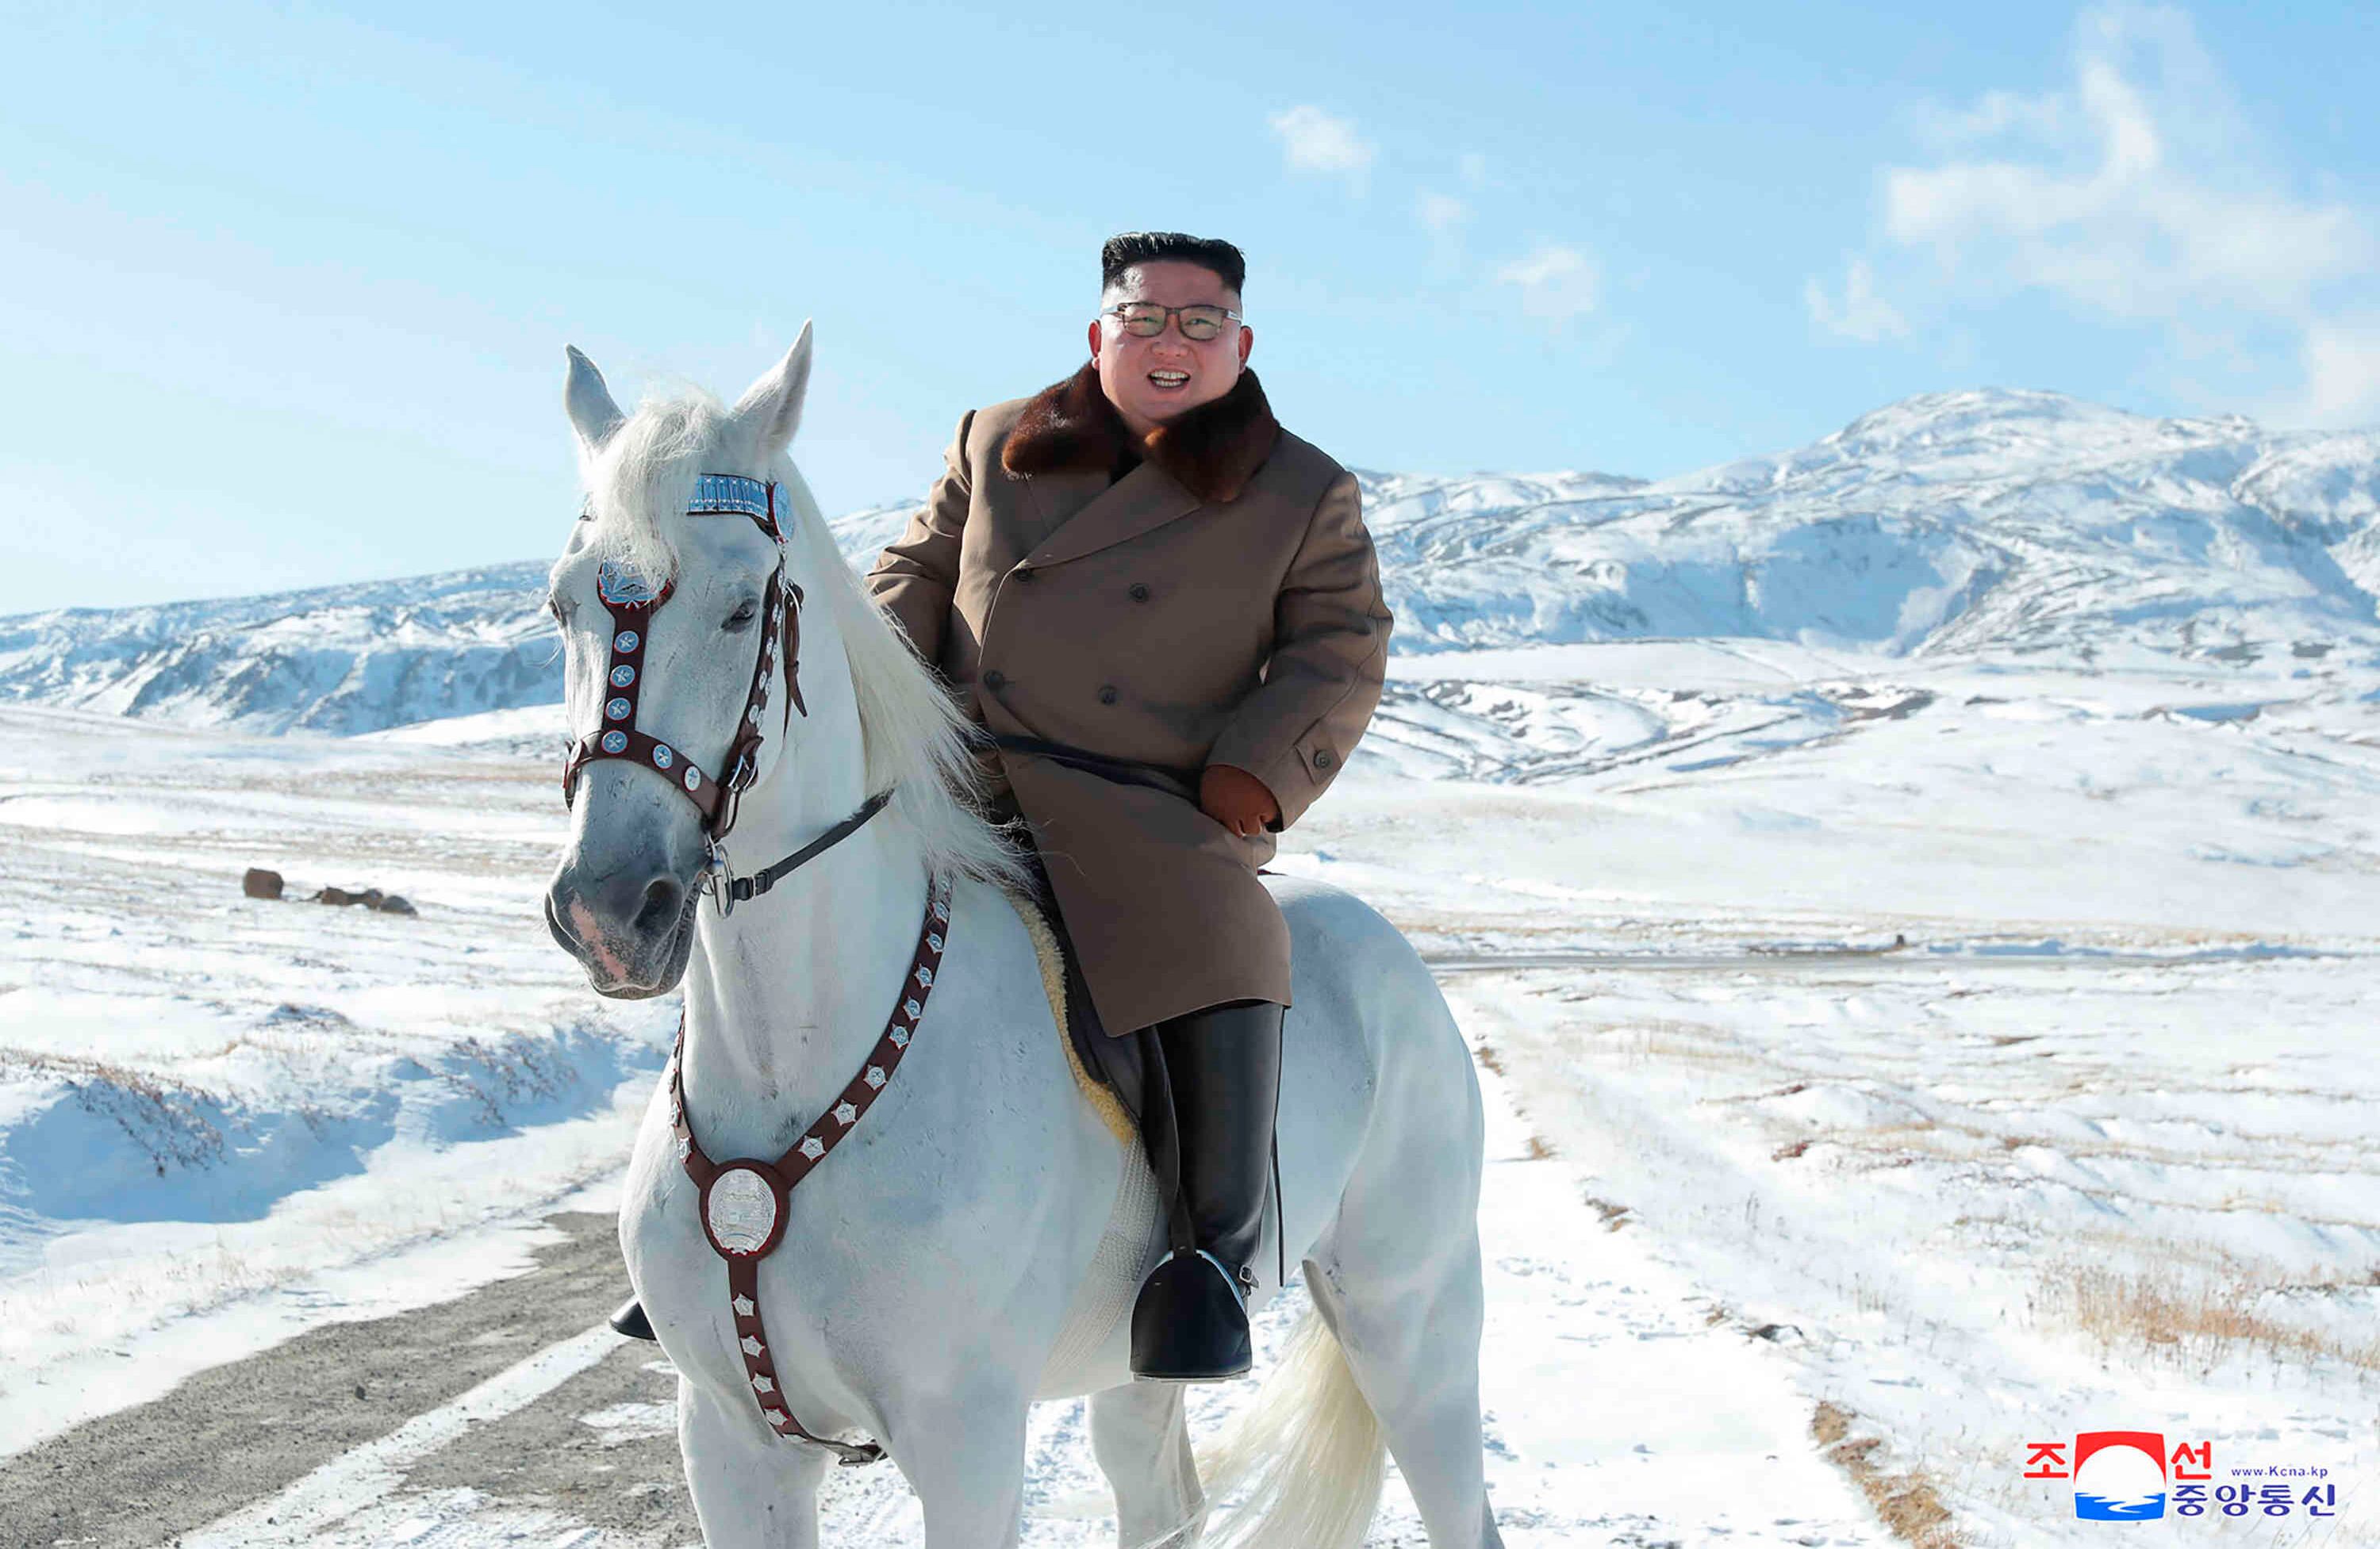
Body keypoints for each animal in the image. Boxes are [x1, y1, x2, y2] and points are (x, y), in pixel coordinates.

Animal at [541, 328, 1502, 1549]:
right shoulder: (731, 1441)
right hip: (1144, 1372)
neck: (788, 1060)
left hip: (1412, 1313)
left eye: (744, 606)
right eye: (561, 607)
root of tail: (1396, 961)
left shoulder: (965, 1441)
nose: (613, 910)